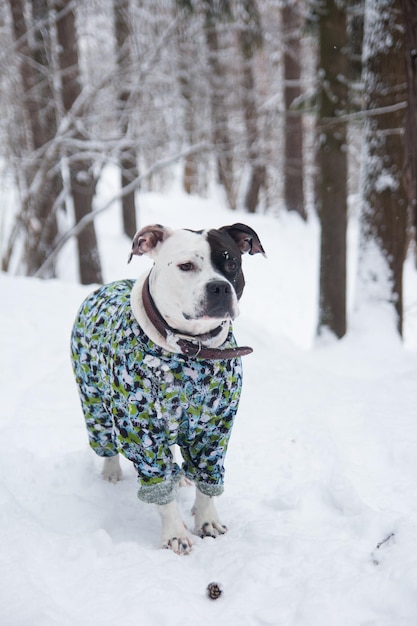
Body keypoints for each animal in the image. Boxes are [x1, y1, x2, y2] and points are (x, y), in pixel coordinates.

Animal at [70, 222, 264, 552]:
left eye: (232, 264)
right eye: (186, 266)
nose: (219, 287)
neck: (192, 351)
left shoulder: (215, 429)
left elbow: (207, 477)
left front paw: (208, 520)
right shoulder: (143, 431)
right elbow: (159, 486)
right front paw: (175, 533)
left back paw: (181, 477)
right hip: (93, 399)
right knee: (105, 440)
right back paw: (111, 473)